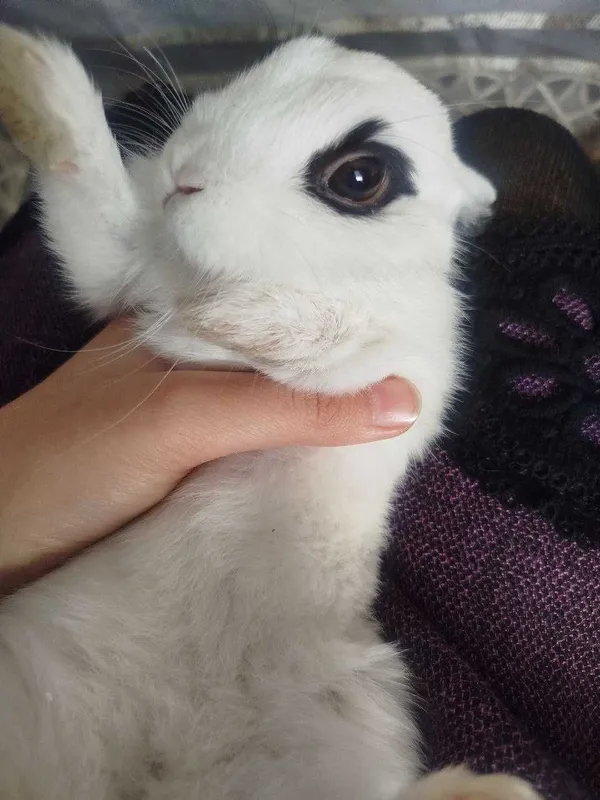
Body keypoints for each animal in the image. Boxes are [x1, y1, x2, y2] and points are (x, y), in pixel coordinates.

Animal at [0, 26, 543, 800]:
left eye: (359, 179)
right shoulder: (119, 264)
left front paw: (227, 317)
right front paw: (26, 67)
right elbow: (96, 204)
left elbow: (330, 335)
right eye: (268, 65)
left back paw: (495, 788)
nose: (184, 176)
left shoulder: (397, 367)